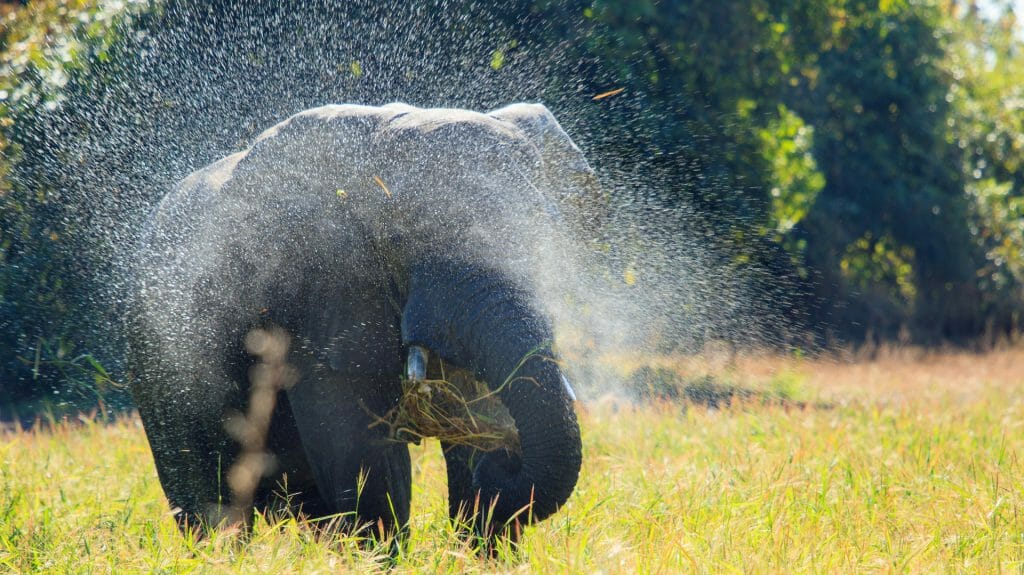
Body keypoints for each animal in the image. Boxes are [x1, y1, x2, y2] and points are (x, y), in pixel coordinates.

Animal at [128, 102, 596, 544]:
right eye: (399, 239)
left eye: (547, 240)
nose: (510, 458)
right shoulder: (319, 288)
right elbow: (358, 449)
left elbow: (476, 415)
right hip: (161, 359)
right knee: (206, 497)